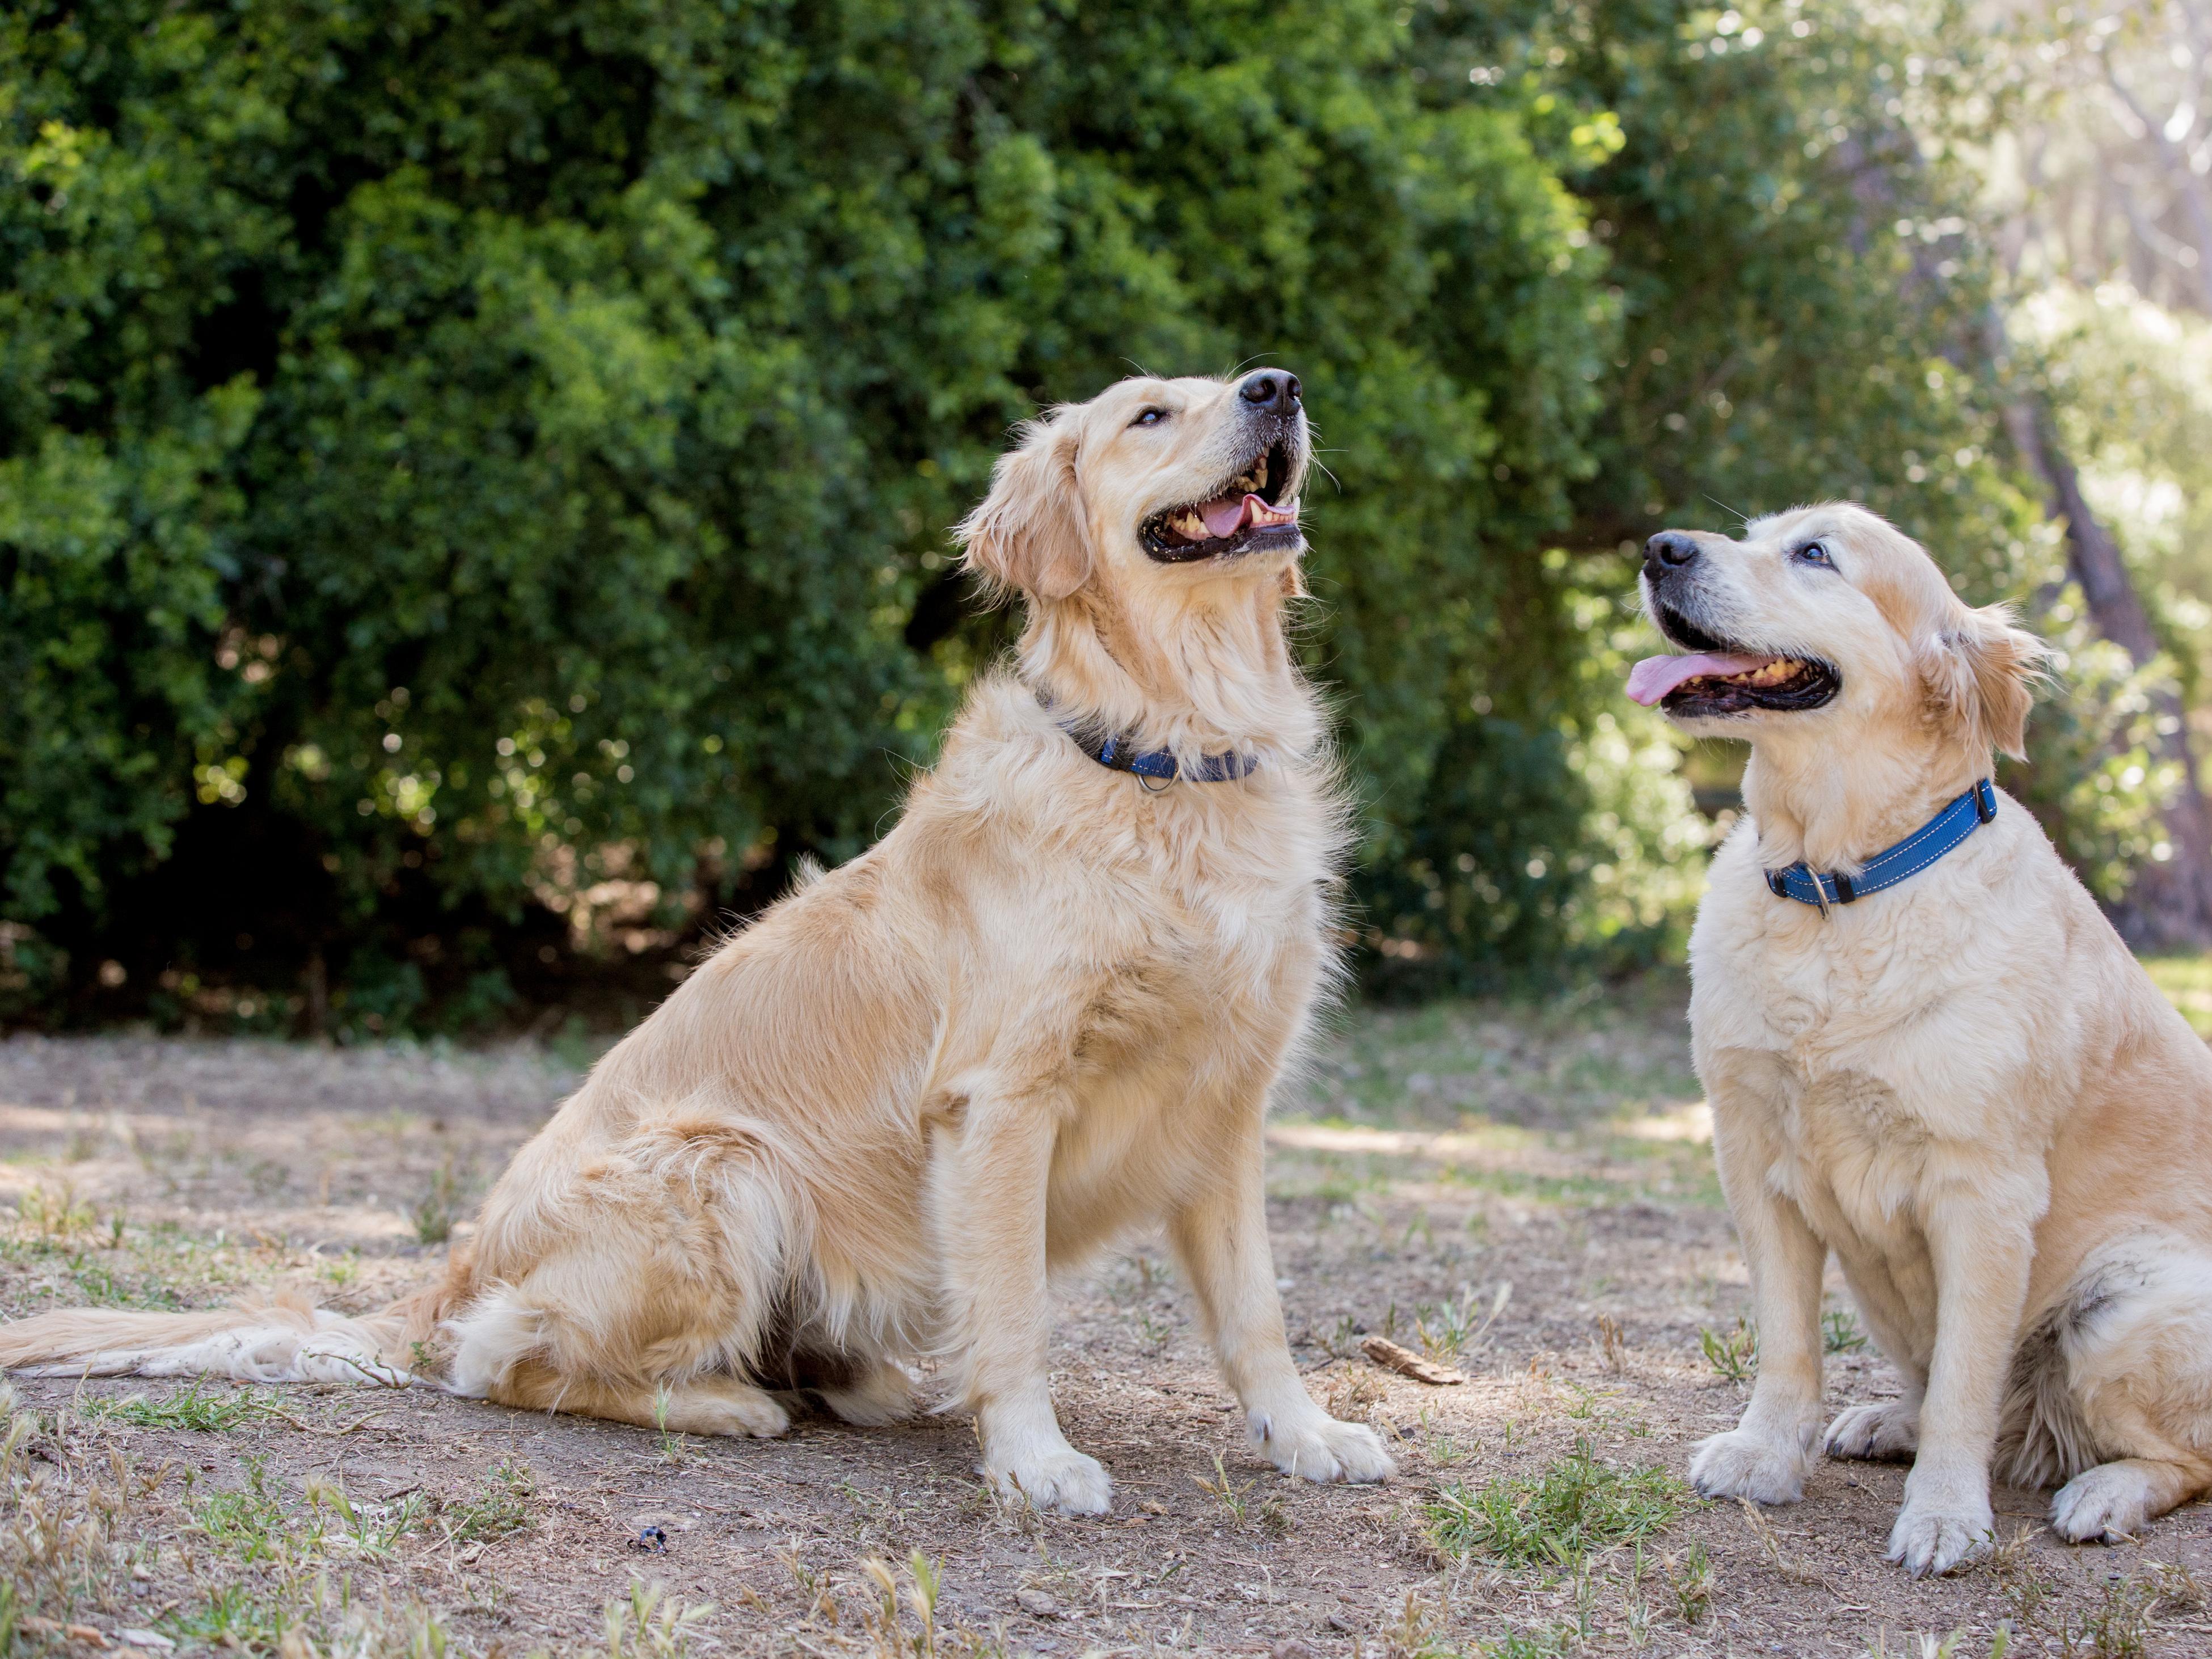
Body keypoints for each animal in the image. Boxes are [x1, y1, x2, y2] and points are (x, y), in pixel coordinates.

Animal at [0, 369, 1398, 1513]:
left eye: (1233, 379)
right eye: (1150, 414)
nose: (1277, 385)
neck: (1171, 753)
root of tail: (454, 1266)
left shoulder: (1224, 1102)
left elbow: (1257, 1310)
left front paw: (1304, 1434)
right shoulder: (1000, 1098)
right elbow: (1013, 1312)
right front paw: (1035, 1459)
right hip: (726, 1165)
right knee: (500, 1356)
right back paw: (729, 1401)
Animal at [1628, 504, 2212, 1574]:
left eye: (1815, 554)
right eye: (1756, 532)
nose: (1661, 549)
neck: (1833, 885)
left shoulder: (1983, 1193)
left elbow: (1966, 1386)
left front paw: (1944, 1513)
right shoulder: (1755, 1158)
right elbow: (1790, 1344)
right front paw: (1767, 1452)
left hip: (2121, 1308)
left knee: (2181, 1459)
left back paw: (2103, 1492)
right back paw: (1884, 1420)